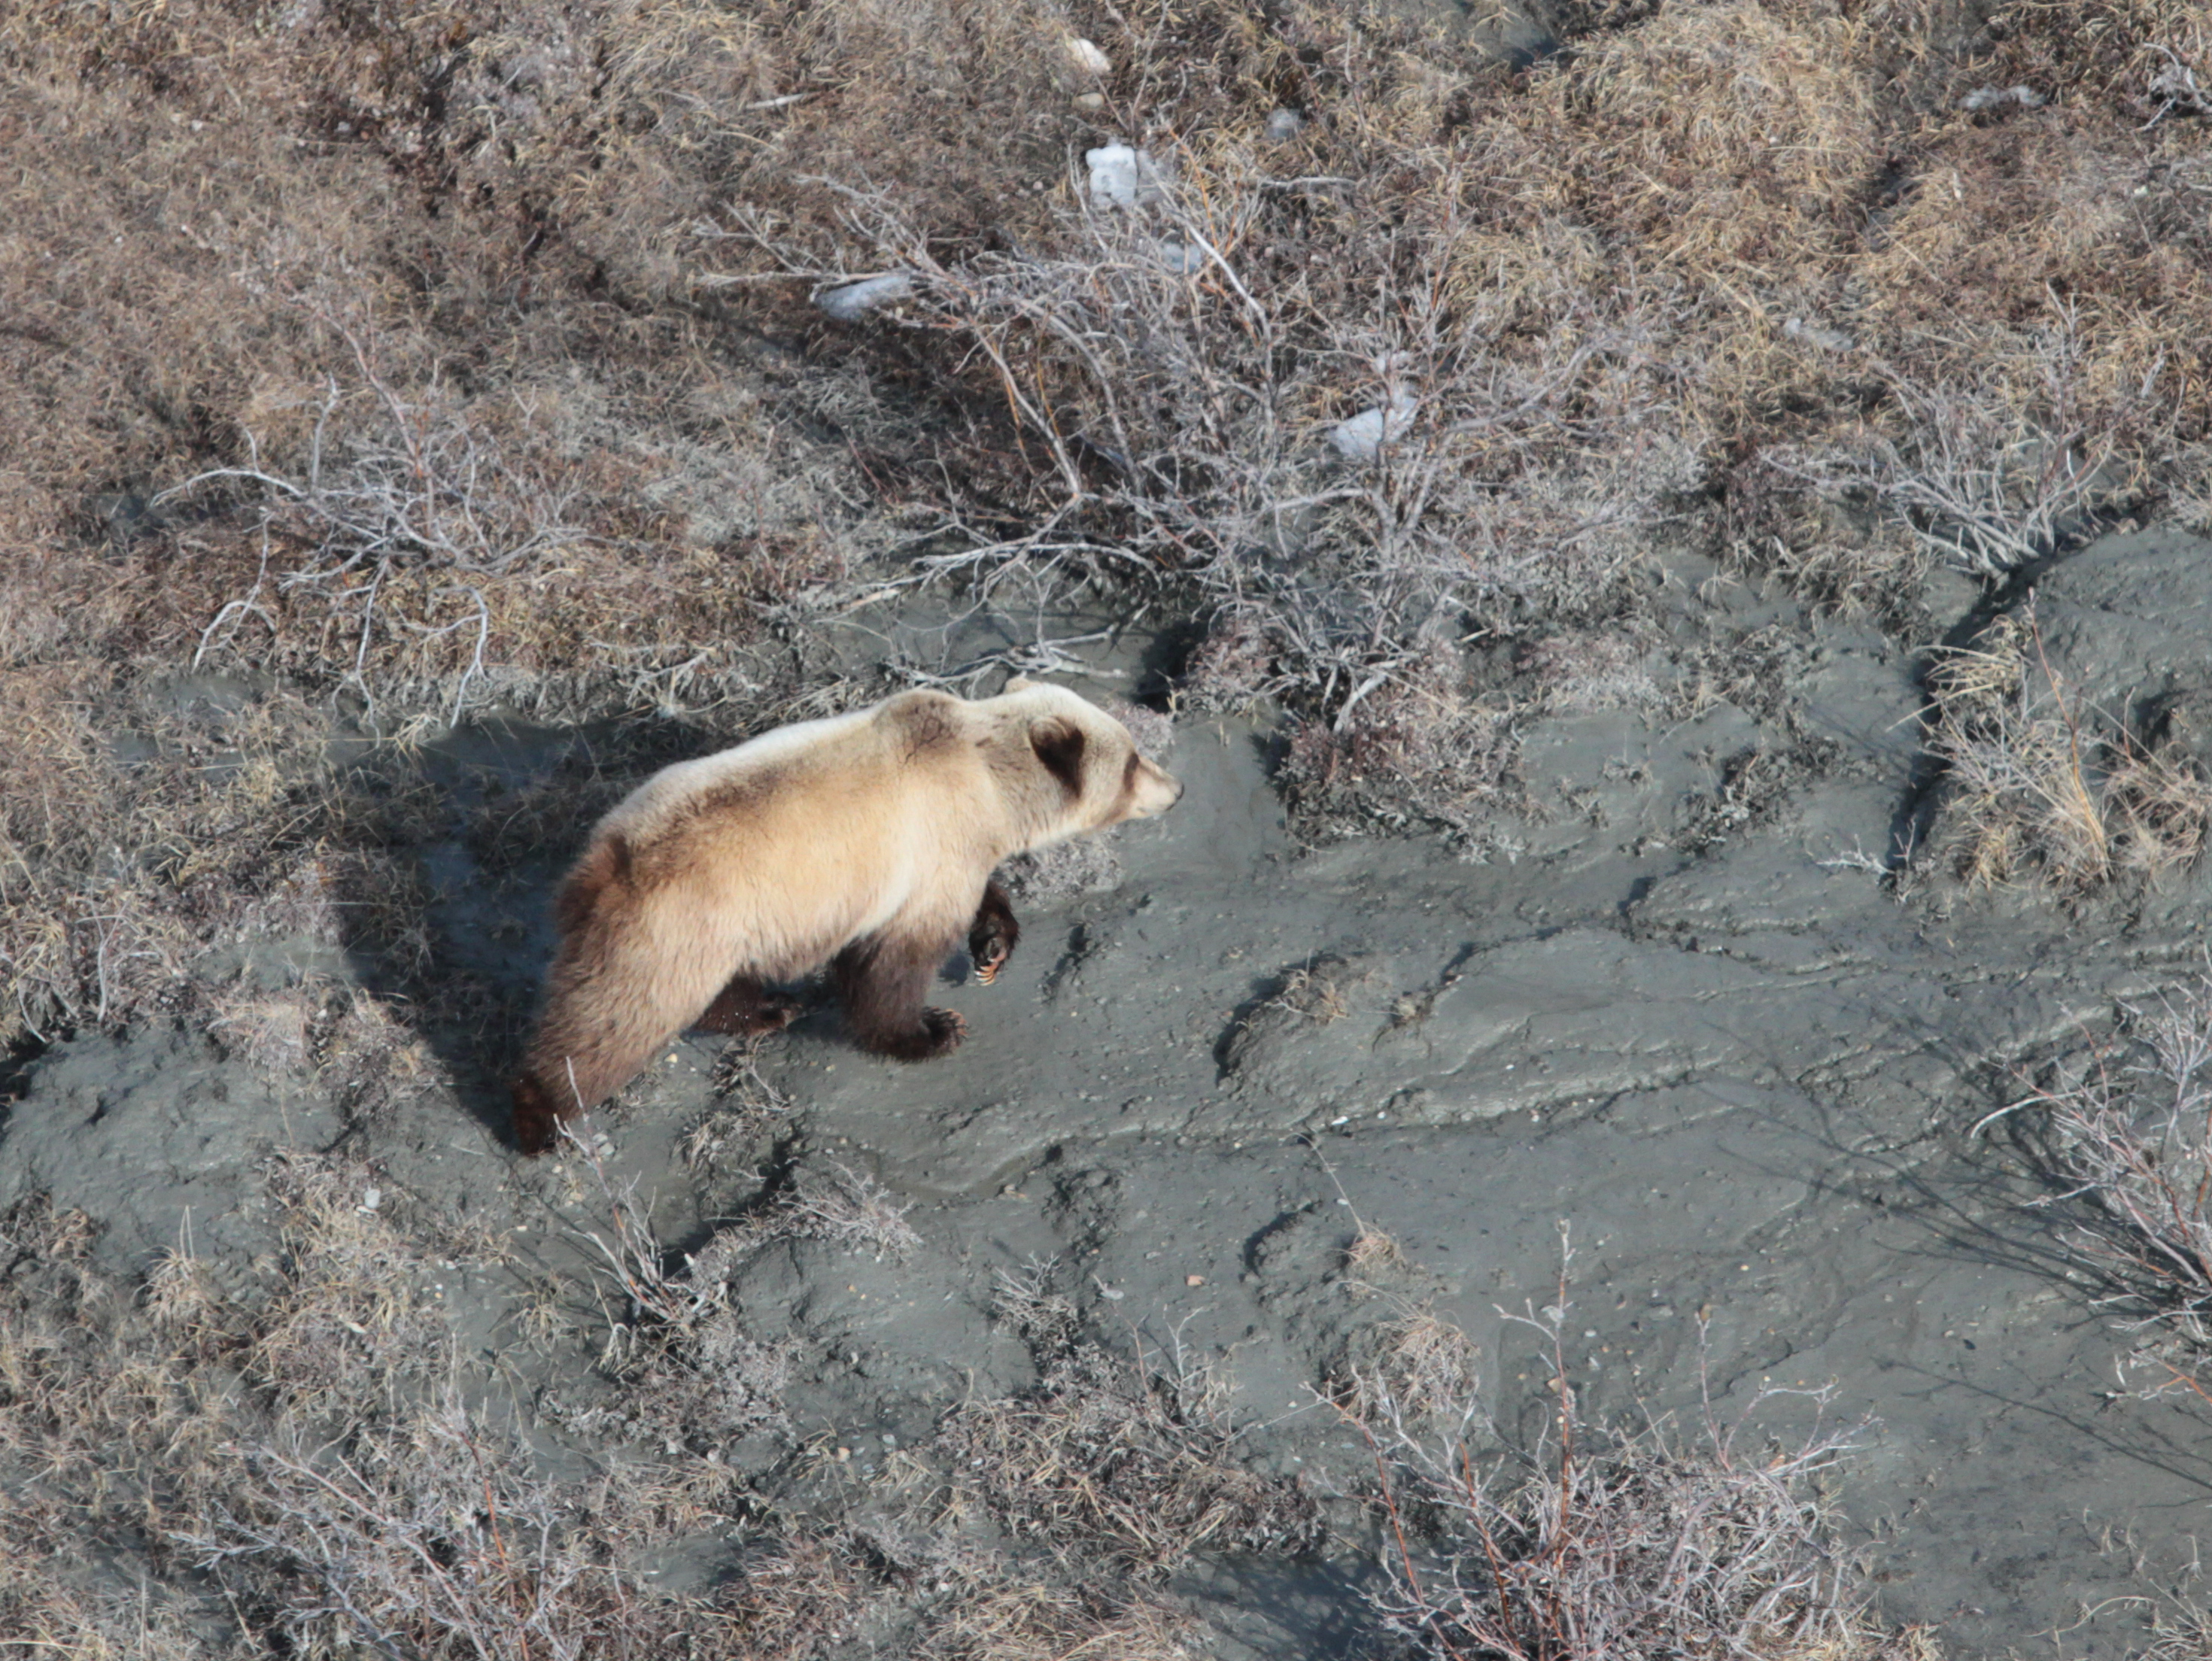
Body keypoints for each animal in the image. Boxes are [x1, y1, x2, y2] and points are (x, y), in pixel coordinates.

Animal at [509, 679, 1182, 1155]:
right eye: (1132, 759)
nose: (1175, 790)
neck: (990, 782)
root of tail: (602, 860)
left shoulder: (952, 850)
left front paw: (992, 947)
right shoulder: (925, 845)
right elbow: (891, 966)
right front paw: (932, 1030)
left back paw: (768, 1009)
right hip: (678, 922)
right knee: (616, 1017)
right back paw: (541, 1114)